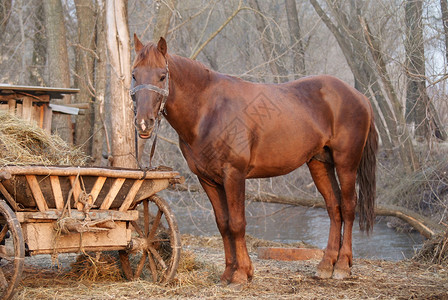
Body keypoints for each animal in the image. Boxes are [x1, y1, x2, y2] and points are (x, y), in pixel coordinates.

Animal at [130, 34, 378, 284]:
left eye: (162, 76)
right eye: (134, 75)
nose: (143, 123)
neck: (209, 110)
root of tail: (360, 96)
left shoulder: (234, 175)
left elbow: (237, 224)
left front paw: (241, 275)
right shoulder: (207, 179)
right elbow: (223, 224)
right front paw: (228, 273)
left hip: (346, 164)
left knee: (348, 206)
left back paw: (343, 266)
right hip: (319, 163)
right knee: (333, 207)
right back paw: (327, 265)